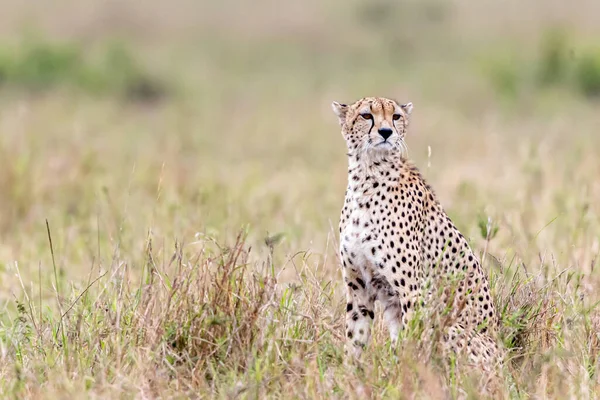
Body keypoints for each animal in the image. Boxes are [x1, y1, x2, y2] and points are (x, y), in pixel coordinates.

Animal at [332, 95, 502, 370]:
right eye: (366, 115)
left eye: (396, 117)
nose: (386, 132)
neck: (367, 177)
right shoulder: (358, 285)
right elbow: (354, 338)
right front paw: (347, 375)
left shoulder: (413, 292)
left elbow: (411, 345)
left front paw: (403, 375)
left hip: (449, 325)